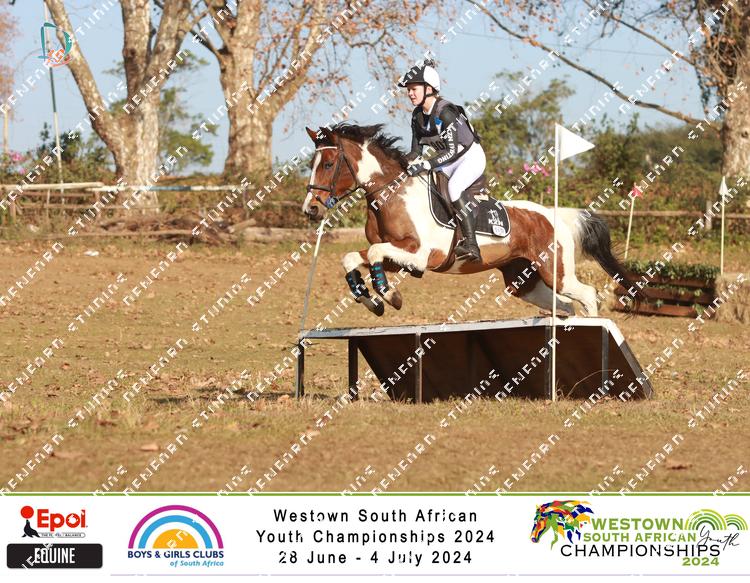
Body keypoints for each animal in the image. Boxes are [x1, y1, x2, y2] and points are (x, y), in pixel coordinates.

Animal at [301, 122, 644, 317]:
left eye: (329, 164)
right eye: (311, 164)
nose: (311, 209)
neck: (391, 194)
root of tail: (554, 215)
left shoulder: (421, 254)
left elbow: (372, 252)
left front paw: (389, 296)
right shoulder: (399, 259)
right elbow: (352, 258)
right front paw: (371, 299)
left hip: (556, 273)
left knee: (587, 296)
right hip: (524, 283)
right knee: (566, 306)